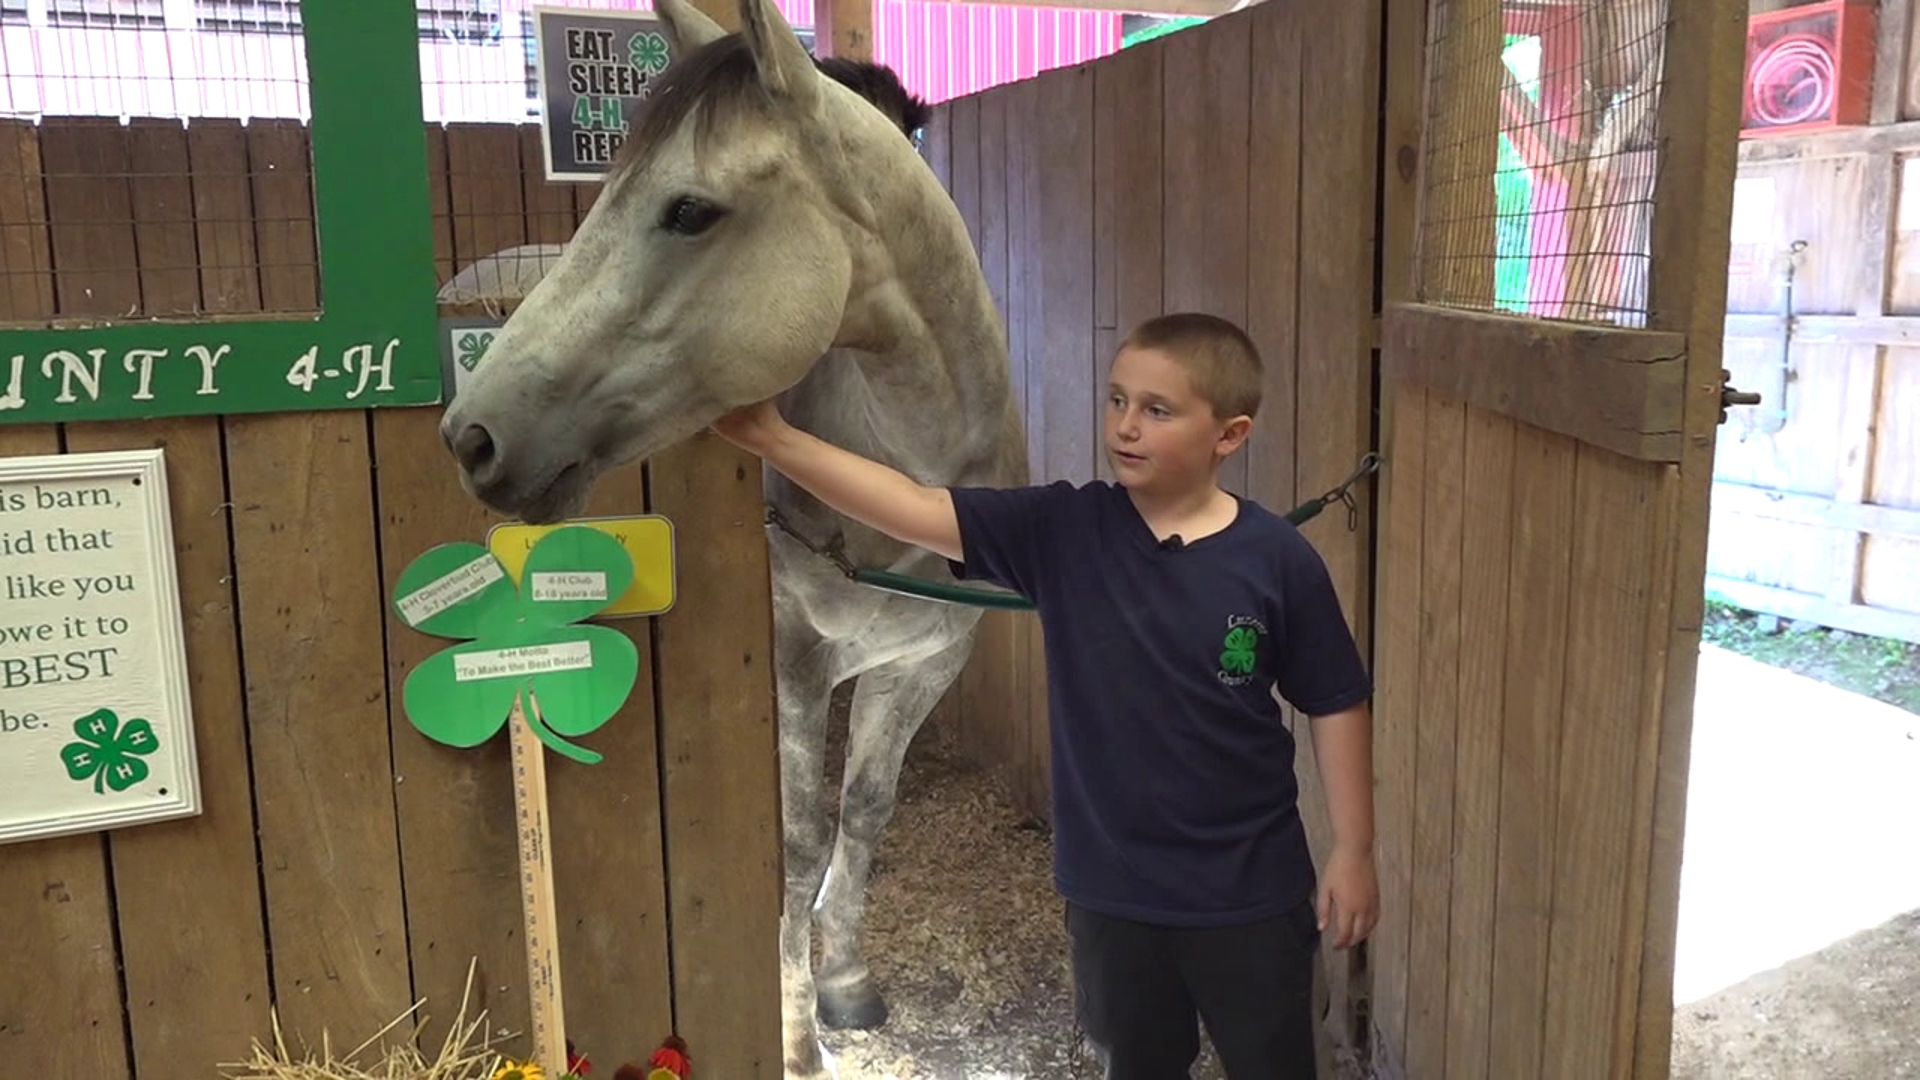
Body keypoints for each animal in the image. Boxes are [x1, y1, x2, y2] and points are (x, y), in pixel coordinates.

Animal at [433, 0, 1029, 1068]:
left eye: (689, 212)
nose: (472, 435)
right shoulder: (792, 660)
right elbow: (792, 844)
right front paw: (793, 1035)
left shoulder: (923, 663)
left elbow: (864, 813)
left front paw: (844, 981)